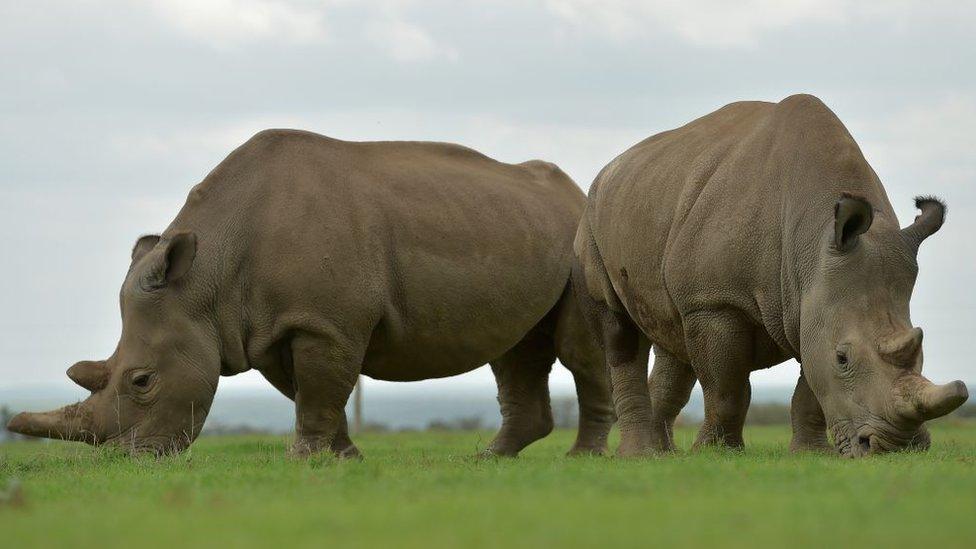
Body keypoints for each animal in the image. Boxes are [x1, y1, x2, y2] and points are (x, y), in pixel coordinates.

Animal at [9, 130, 608, 458]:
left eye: (141, 381)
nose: (125, 459)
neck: (205, 280)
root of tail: (576, 192)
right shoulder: (269, 327)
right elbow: (314, 392)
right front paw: (341, 458)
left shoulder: (324, 321)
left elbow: (321, 389)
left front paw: (305, 460)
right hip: (517, 227)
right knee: (514, 350)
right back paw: (490, 459)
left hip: (584, 239)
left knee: (577, 350)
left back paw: (581, 460)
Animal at [576, 94, 964, 458]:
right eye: (843, 359)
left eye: (922, 351)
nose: (898, 448)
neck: (813, 238)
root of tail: (609, 170)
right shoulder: (715, 301)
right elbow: (726, 388)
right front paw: (716, 453)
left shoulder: (812, 303)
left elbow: (809, 389)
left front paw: (810, 454)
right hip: (593, 218)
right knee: (619, 330)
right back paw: (639, 456)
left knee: (671, 337)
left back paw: (663, 455)